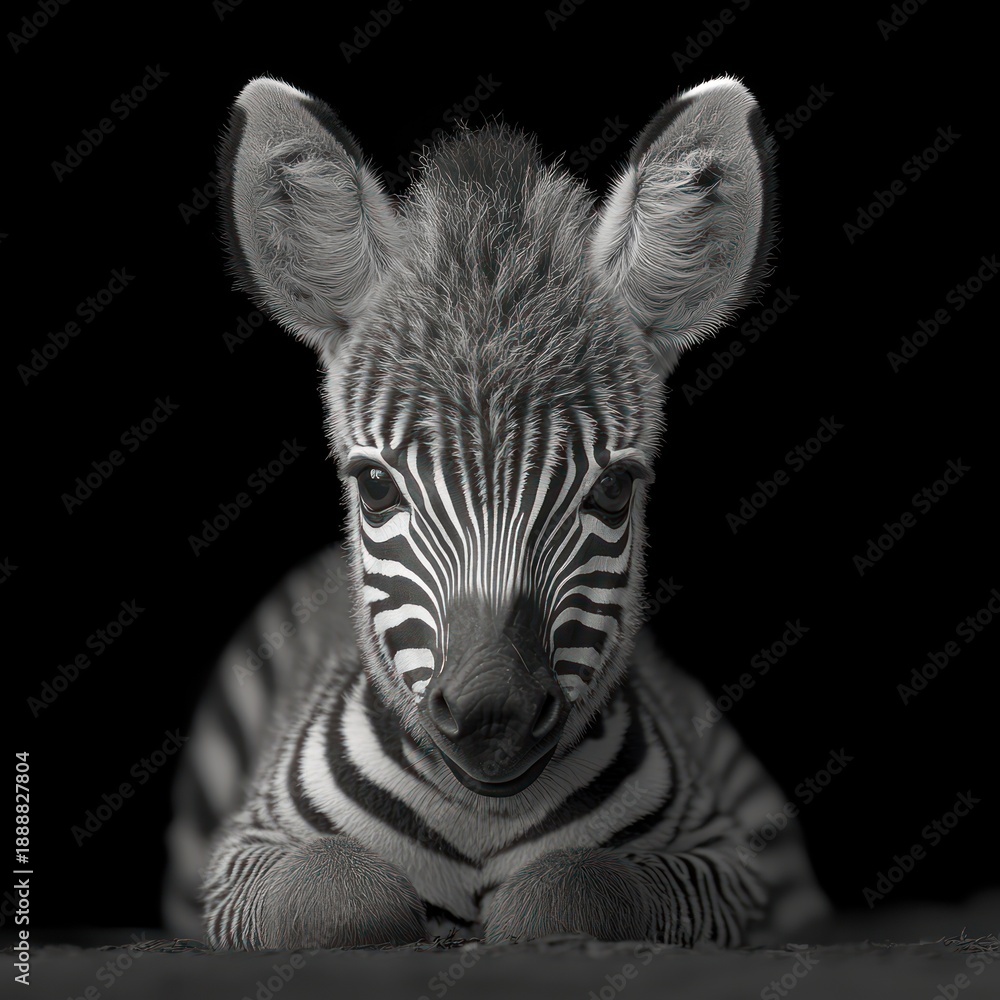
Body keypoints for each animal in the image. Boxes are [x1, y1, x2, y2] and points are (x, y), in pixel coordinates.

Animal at [164, 75, 830, 949]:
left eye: (614, 490)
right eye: (374, 486)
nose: (492, 719)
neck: (479, 813)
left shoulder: (722, 864)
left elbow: (577, 887)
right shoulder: (246, 851)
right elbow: (337, 892)